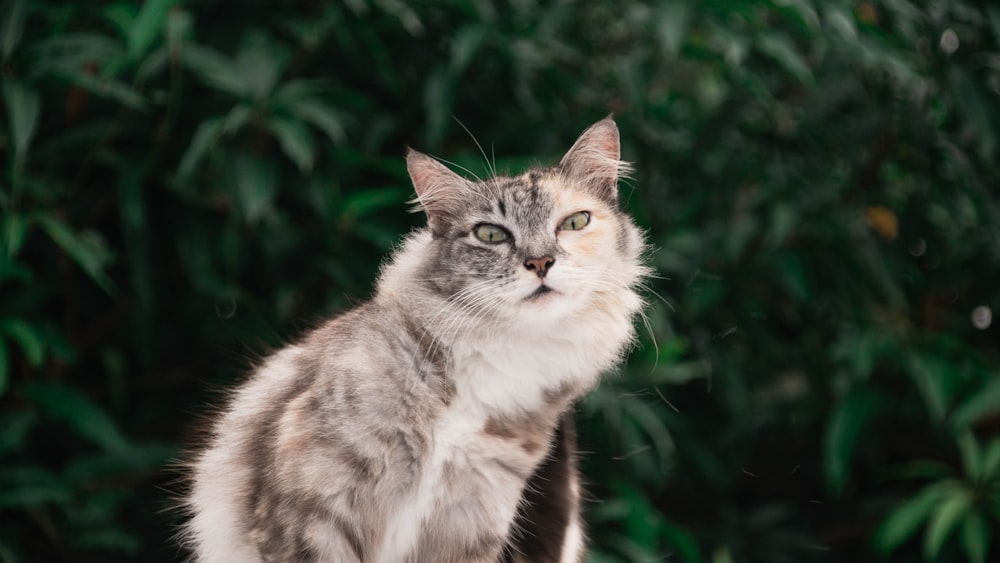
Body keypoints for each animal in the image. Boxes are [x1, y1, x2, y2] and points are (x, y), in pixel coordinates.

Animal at [184, 119, 652, 563]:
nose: (540, 262)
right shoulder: (313, 513)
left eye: (575, 222)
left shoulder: (471, 520)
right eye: (491, 234)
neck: (500, 359)